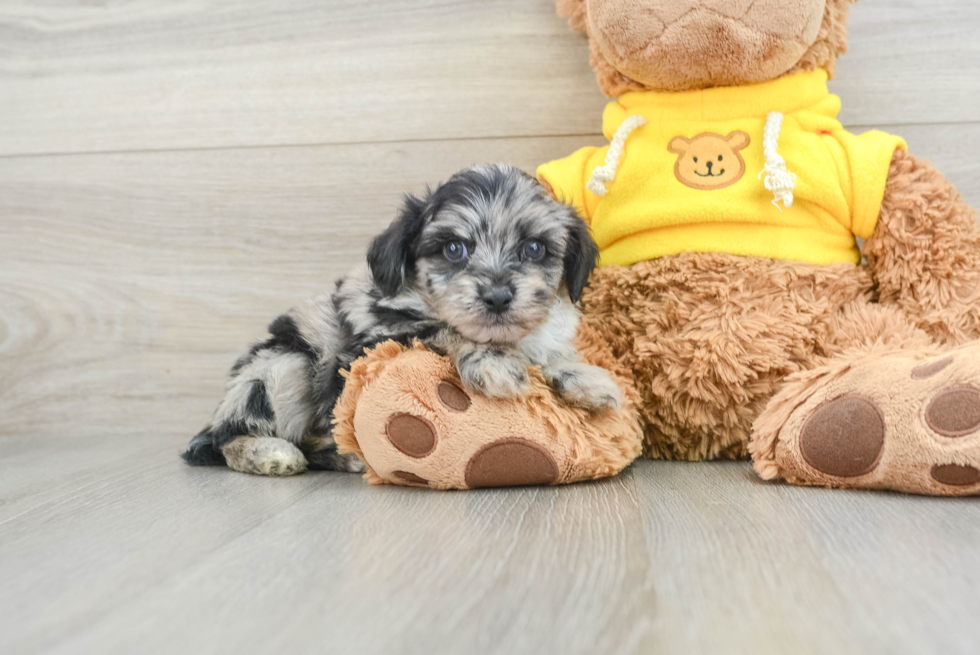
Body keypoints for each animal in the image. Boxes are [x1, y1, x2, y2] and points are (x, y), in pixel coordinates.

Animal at [182, 164, 620, 476]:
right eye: (454, 249)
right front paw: (494, 362)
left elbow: (550, 353)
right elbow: (445, 329)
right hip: (284, 367)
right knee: (228, 438)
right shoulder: (378, 338)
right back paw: (271, 453)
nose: (497, 297)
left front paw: (582, 376)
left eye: (534, 248)